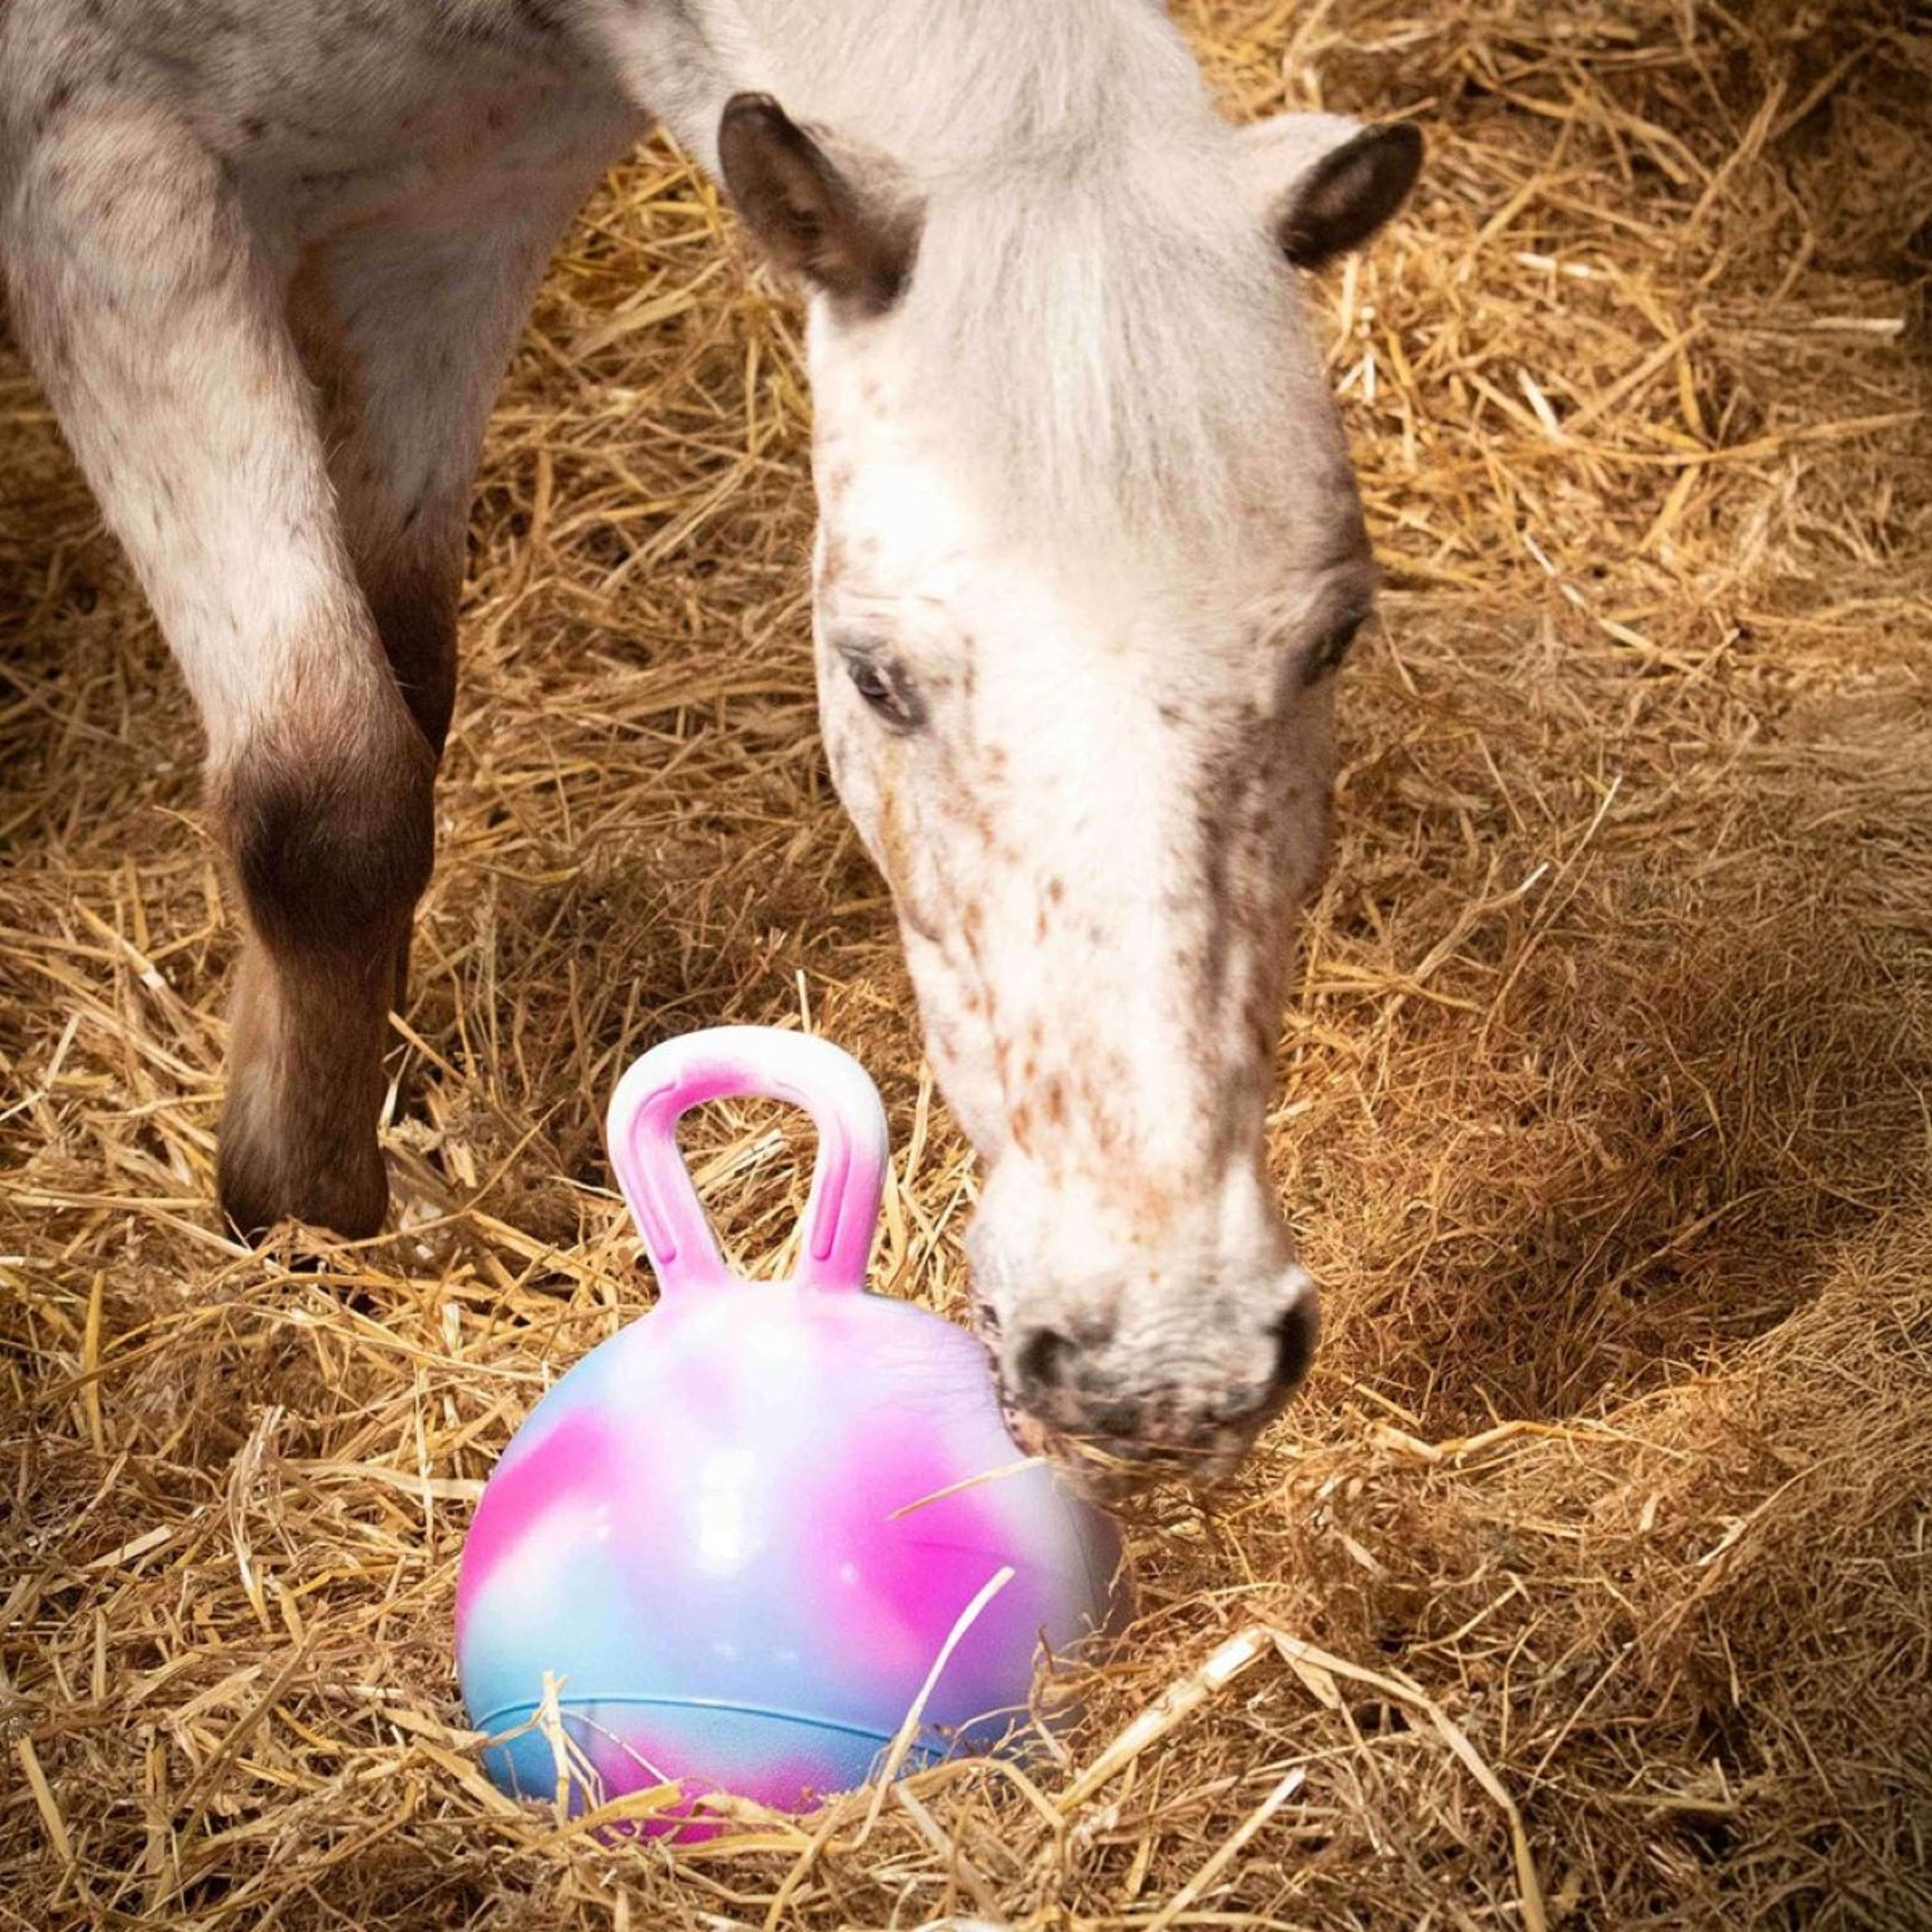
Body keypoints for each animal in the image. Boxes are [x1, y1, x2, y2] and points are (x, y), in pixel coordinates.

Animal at [0, 0, 1420, 1491]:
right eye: (874, 680)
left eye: (1334, 643)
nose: (1166, 1367)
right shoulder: (104, 179)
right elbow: (326, 796)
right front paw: (306, 1224)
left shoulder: (450, 223)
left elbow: (405, 690)